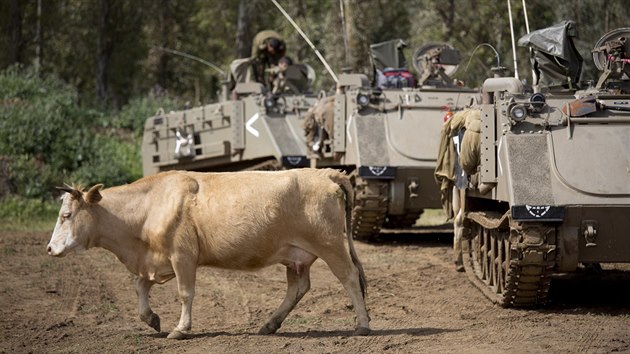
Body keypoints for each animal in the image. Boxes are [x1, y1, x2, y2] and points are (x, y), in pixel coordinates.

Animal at [48, 167, 370, 338]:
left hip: (330, 245)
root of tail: (327, 173)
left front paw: (181, 329)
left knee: (350, 277)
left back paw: (363, 325)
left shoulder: (182, 256)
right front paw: (152, 319)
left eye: (66, 215)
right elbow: (140, 286)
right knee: (298, 287)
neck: (150, 205)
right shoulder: (158, 259)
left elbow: (185, 293)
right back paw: (269, 324)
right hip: (296, 256)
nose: (50, 248)